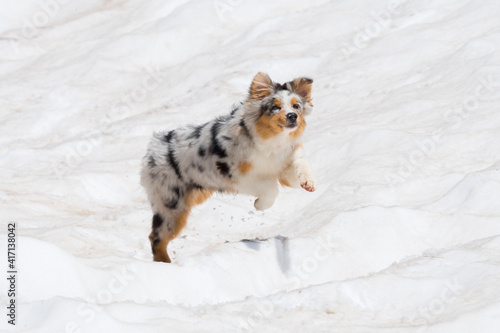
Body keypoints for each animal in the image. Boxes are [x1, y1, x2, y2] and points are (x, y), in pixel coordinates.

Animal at [139, 72, 314, 262]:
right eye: (275, 107)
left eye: (296, 106)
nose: (292, 116)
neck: (272, 140)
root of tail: (152, 149)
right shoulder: (236, 175)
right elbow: (270, 187)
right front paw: (259, 205)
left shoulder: (283, 164)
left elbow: (300, 164)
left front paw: (307, 181)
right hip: (172, 205)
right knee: (156, 238)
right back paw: (165, 263)